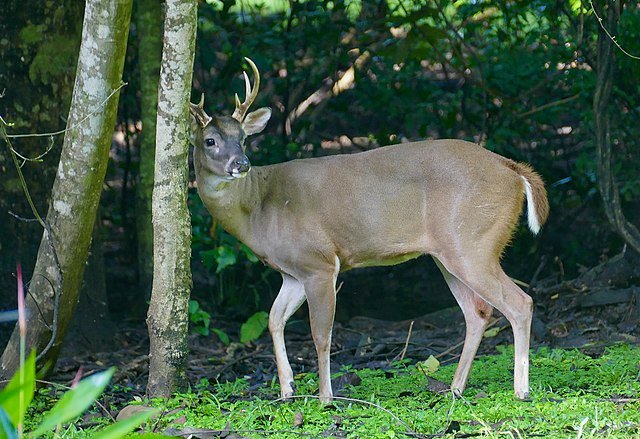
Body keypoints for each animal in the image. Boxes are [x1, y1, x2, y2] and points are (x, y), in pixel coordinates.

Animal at [188, 59, 548, 406]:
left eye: (243, 138)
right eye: (210, 141)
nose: (241, 163)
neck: (260, 207)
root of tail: (514, 171)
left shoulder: (319, 262)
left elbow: (321, 334)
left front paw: (326, 398)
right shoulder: (292, 273)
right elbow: (274, 319)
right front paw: (287, 389)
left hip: (473, 242)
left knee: (520, 302)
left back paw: (521, 390)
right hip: (450, 252)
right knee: (478, 312)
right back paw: (455, 389)